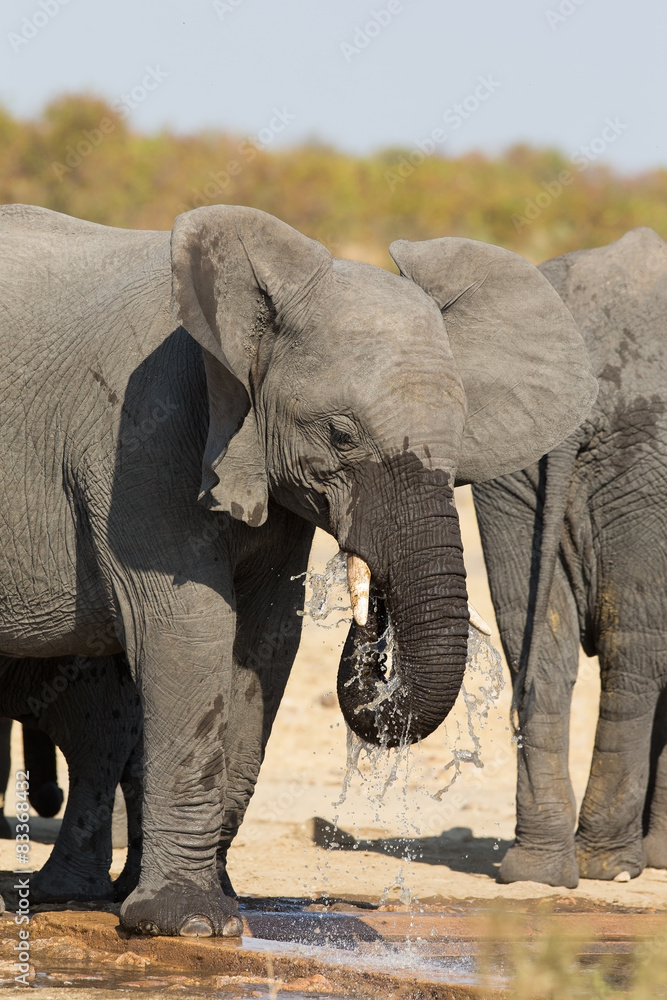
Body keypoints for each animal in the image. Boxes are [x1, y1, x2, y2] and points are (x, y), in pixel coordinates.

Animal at [0, 203, 596, 935]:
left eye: (461, 434)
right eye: (339, 434)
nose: (373, 627)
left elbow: (264, 641)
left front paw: (217, 903)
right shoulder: (137, 433)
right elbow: (187, 629)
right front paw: (189, 923)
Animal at [473, 227, 667, 888]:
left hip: (508, 453)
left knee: (537, 645)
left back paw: (536, 872)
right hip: (646, 455)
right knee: (635, 650)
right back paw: (610, 867)